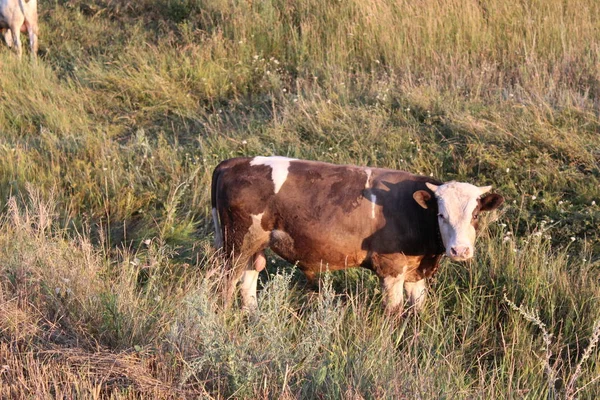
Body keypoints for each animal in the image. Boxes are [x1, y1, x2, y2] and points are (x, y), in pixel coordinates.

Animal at [211, 158, 502, 314]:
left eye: (475, 215)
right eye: (440, 214)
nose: (460, 251)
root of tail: (233, 163)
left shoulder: (415, 272)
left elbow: (418, 308)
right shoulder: (391, 268)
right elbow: (394, 311)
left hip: (255, 245)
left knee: (249, 278)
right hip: (236, 244)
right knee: (228, 283)